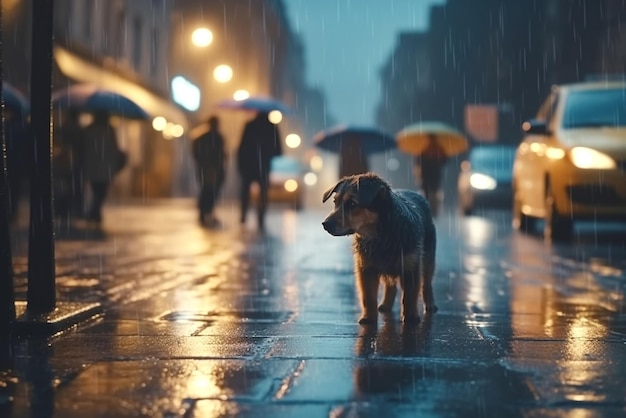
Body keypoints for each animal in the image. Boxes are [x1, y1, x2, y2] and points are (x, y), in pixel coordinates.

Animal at [322, 171, 434, 324]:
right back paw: (386, 305)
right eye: (335, 202)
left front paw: (411, 318)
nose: (325, 224)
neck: (381, 237)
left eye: (352, 204)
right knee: (390, 285)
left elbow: (409, 297)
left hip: (428, 259)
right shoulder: (366, 269)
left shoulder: (411, 267)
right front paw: (368, 318)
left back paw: (430, 305)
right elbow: (368, 297)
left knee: (427, 283)